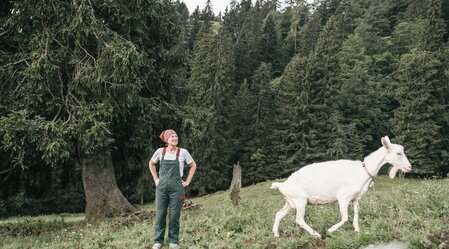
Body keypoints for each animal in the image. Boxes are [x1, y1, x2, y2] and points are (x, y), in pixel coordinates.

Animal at [272, 136, 412, 239]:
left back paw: (276, 234)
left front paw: (357, 230)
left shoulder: (356, 199)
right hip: (300, 200)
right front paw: (330, 230)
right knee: (299, 219)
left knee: (279, 214)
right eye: (398, 153)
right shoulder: (343, 198)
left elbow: (356, 213)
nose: (409, 167)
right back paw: (316, 235)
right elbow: (345, 218)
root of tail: (283, 184)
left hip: (290, 202)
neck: (362, 171)